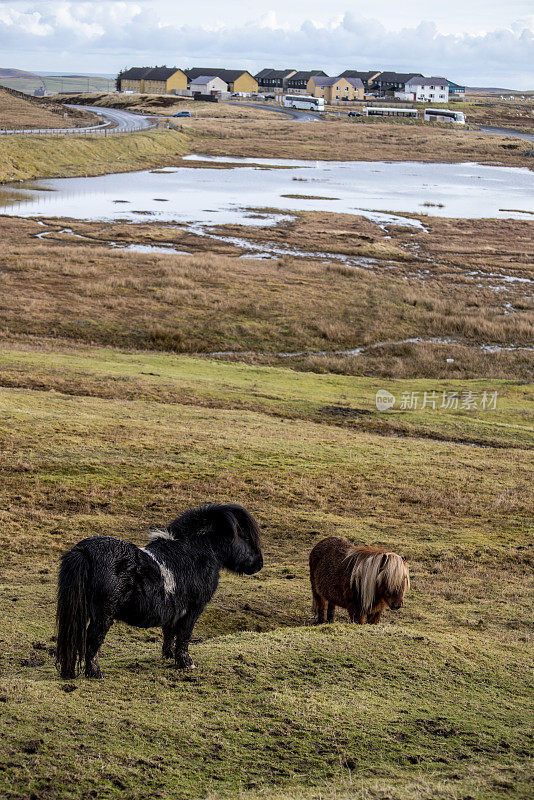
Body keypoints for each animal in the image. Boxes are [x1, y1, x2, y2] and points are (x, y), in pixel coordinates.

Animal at [55, 504, 262, 680]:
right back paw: (96, 674)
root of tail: (84, 551)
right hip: (104, 614)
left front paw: (168, 656)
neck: (194, 553)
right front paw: (186, 663)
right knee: (93, 640)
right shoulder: (193, 609)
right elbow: (184, 635)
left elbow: (169, 632)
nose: (259, 564)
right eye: (245, 537)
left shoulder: (174, 609)